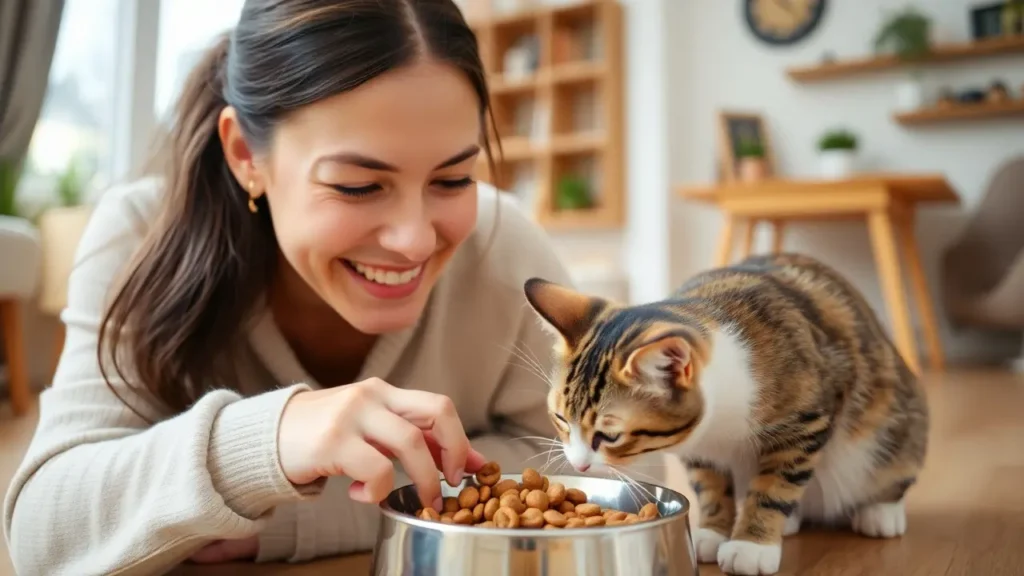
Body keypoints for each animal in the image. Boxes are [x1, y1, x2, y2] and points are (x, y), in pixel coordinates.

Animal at [524, 253, 933, 573]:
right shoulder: (699, 446)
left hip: (894, 423)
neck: (719, 422)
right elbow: (710, 484)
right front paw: (713, 530)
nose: (578, 465)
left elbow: (775, 486)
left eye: (609, 436)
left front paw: (752, 544)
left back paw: (880, 512)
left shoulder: (806, 421)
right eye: (560, 420)